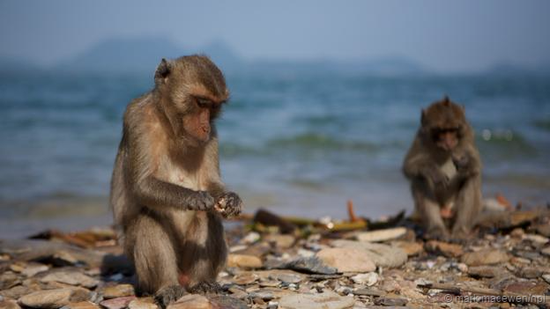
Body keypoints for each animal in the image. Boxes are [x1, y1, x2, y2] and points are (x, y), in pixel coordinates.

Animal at [109, 54, 243, 304]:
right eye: (201, 103)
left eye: (213, 106)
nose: (205, 126)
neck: (172, 128)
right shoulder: (137, 119)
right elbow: (142, 185)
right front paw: (194, 198)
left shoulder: (213, 135)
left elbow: (210, 184)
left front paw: (230, 199)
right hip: (140, 270)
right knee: (148, 219)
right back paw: (168, 286)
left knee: (206, 217)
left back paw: (201, 282)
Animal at [404, 95, 486, 238]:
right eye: (441, 131)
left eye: (453, 129)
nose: (448, 142)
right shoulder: (421, 137)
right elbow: (409, 165)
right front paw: (434, 172)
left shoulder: (468, 134)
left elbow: (476, 164)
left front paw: (465, 163)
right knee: (420, 179)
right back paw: (436, 228)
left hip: (455, 210)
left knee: (472, 177)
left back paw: (461, 230)